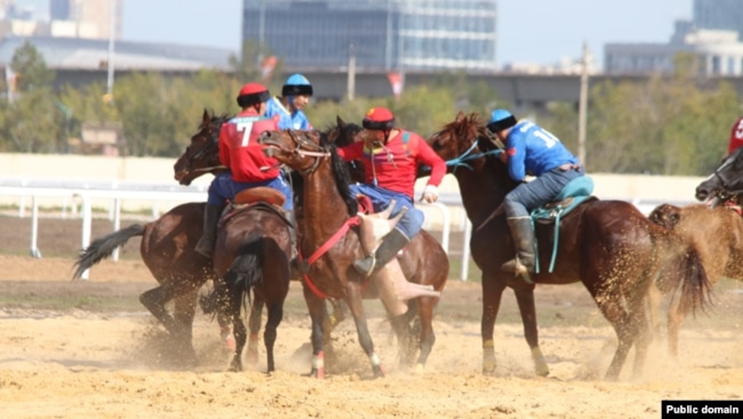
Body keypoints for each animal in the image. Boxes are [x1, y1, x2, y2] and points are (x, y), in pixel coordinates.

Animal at [73, 110, 231, 364]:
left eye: (194, 140)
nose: (177, 167)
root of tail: (149, 227)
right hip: (185, 278)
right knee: (157, 304)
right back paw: (187, 353)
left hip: (185, 283)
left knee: (180, 316)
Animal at [258, 129, 450, 380]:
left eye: (307, 135)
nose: (267, 134)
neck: (331, 231)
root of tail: (440, 252)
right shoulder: (312, 292)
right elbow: (318, 333)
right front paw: (315, 370)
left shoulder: (351, 291)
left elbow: (363, 334)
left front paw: (378, 370)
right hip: (395, 301)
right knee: (405, 335)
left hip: (426, 299)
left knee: (427, 337)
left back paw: (415, 370)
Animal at [424, 111, 708, 380]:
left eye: (440, 141)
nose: (421, 160)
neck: (494, 207)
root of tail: (644, 223)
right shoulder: (523, 285)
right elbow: (530, 329)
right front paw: (541, 368)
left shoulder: (491, 277)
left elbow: (486, 323)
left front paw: (489, 367)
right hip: (635, 291)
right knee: (642, 333)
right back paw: (635, 375)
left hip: (605, 290)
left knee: (627, 331)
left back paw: (611, 376)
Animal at [644, 203, 743, 358]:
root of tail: (680, 213)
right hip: (706, 274)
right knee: (675, 314)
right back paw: (672, 359)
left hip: (673, 267)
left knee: (654, 293)